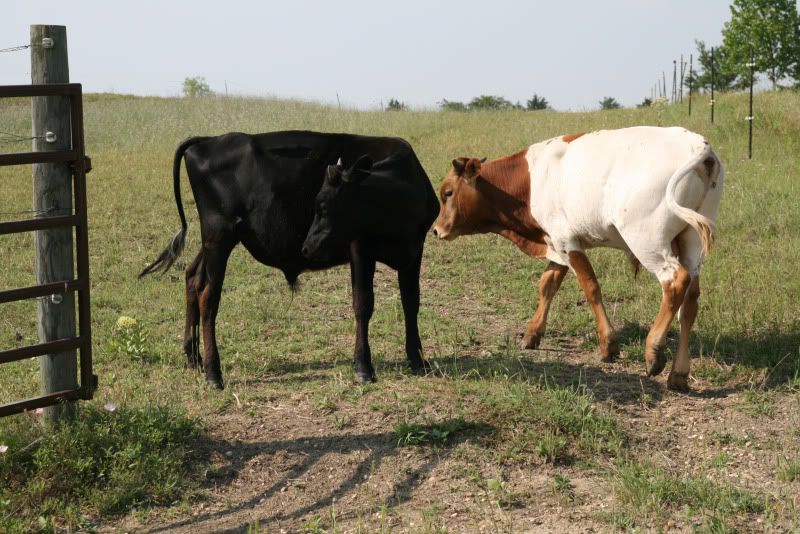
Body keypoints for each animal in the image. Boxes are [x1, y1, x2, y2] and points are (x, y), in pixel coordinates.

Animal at [140, 131, 440, 389]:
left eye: (323, 206)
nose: (307, 247)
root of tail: (210, 139)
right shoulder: (360, 247)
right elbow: (363, 304)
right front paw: (364, 368)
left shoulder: (416, 249)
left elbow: (411, 301)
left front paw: (417, 359)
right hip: (218, 234)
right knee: (208, 297)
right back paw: (214, 373)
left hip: (217, 240)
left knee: (193, 277)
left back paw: (193, 359)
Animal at [432, 126, 723, 391]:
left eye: (447, 193)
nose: (436, 230)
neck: (528, 181)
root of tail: (698, 146)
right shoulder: (557, 242)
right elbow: (548, 284)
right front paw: (532, 333)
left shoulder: (567, 242)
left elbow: (590, 287)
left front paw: (608, 344)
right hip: (690, 241)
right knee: (690, 301)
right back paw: (679, 374)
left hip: (647, 241)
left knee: (675, 282)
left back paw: (653, 350)